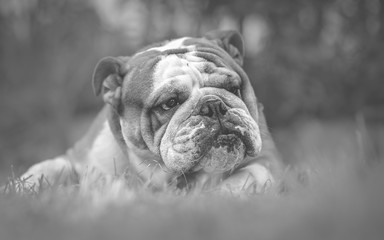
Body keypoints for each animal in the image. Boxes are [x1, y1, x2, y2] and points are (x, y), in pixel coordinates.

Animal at [19, 30, 282, 193]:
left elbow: (244, 177)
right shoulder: (78, 158)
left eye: (233, 88)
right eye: (169, 103)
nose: (213, 105)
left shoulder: (268, 163)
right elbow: (47, 169)